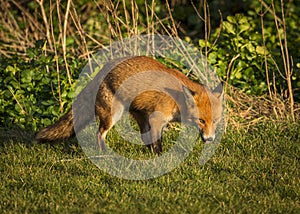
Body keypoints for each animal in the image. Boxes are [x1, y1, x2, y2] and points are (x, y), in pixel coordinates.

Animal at [35, 56, 223, 154]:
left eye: (215, 121)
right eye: (201, 121)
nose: (210, 139)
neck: (177, 99)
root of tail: (103, 69)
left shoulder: (155, 120)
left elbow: (153, 139)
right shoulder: (156, 118)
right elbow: (158, 143)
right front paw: (160, 158)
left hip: (140, 115)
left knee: (143, 137)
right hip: (113, 115)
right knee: (99, 134)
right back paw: (105, 155)